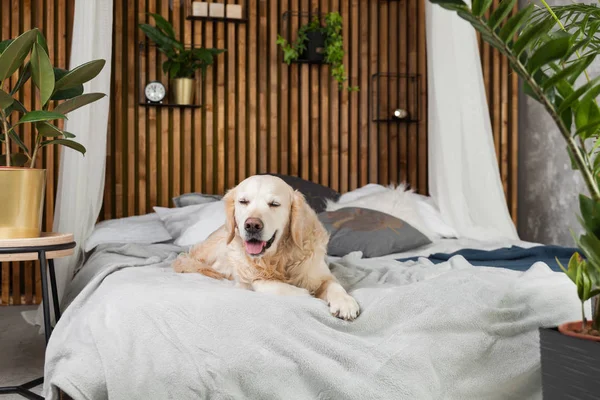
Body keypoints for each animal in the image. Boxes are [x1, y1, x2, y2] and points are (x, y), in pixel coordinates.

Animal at [173, 175, 360, 322]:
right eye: (243, 201)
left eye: (274, 204)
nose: (252, 225)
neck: (278, 258)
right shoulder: (253, 279)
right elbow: (282, 288)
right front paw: (307, 295)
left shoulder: (320, 274)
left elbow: (334, 284)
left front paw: (345, 302)